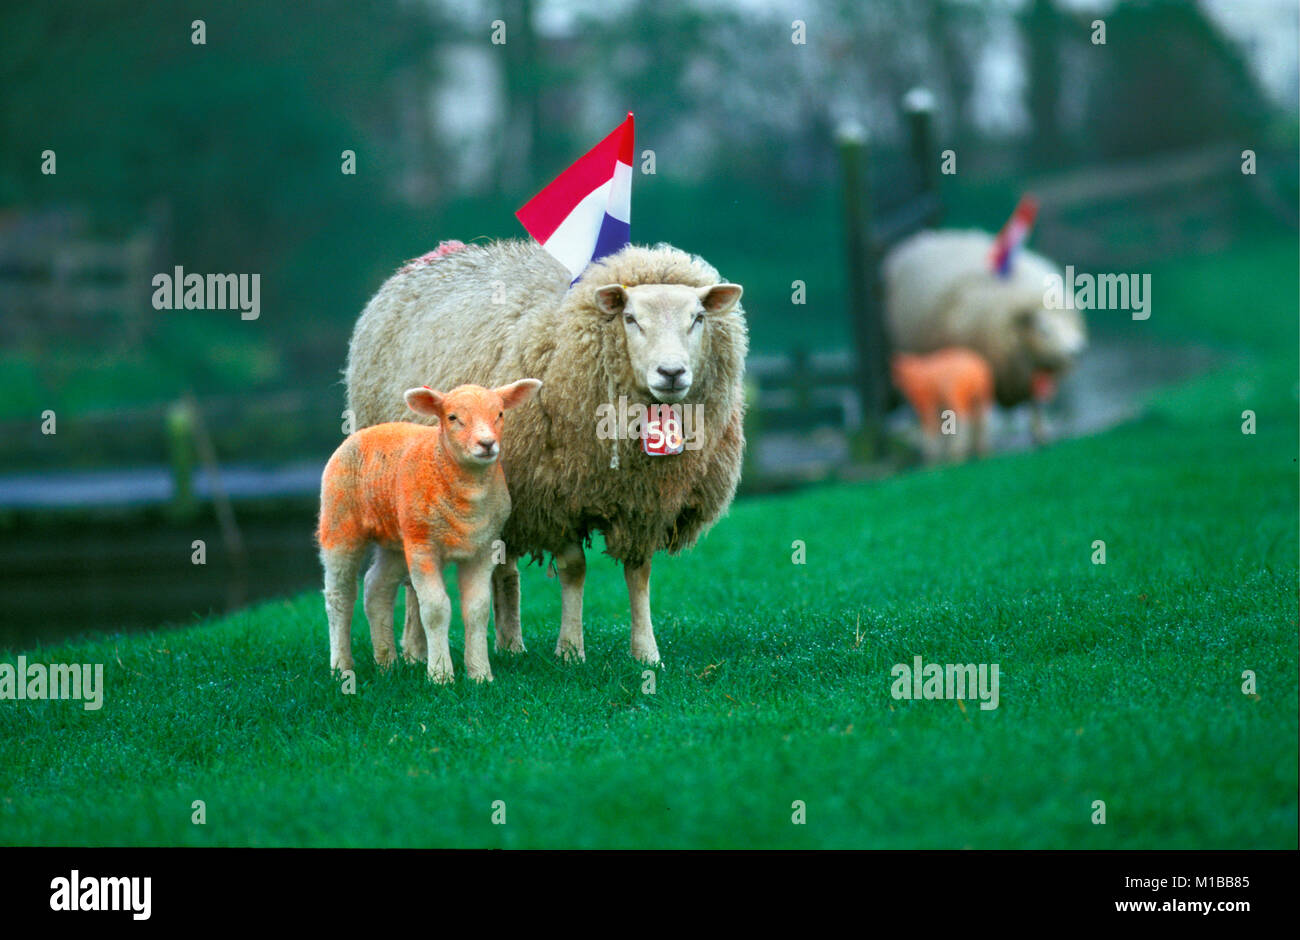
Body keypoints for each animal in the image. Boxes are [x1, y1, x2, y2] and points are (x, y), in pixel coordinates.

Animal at [319, 377, 543, 686]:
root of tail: (367, 431)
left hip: (398, 538)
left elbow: (477, 610)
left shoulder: (483, 548)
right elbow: (436, 609)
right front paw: (440, 675)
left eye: (499, 414)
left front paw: (480, 674)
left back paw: (387, 663)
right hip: (340, 523)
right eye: (452, 418)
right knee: (339, 595)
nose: (487, 444)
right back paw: (340, 667)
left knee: (376, 587)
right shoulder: (424, 547)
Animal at [345, 243, 748, 670]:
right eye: (631, 318)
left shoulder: (642, 503)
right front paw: (570, 649)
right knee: (413, 576)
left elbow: (638, 574)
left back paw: (509, 643)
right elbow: (574, 570)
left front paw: (647, 654)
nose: (671, 373)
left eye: (698, 318)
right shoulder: (555, 497)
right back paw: (414, 649)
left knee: (503, 569)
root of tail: (432, 260)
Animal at [883, 231, 1086, 444]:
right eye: (1044, 331)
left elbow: (1035, 404)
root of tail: (920, 240)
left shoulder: (1028, 376)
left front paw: (1041, 434)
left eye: (1069, 326)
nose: (1078, 349)